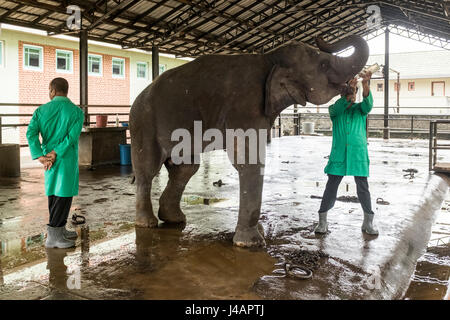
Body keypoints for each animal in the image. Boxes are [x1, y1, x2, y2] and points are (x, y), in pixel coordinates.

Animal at [129, 34, 370, 248]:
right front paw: (251, 243)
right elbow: (250, 163)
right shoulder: (245, 106)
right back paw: (147, 224)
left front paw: (259, 233)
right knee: (148, 169)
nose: (321, 38)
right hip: (143, 123)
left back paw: (174, 219)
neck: (270, 57)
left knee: (185, 168)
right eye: (323, 64)